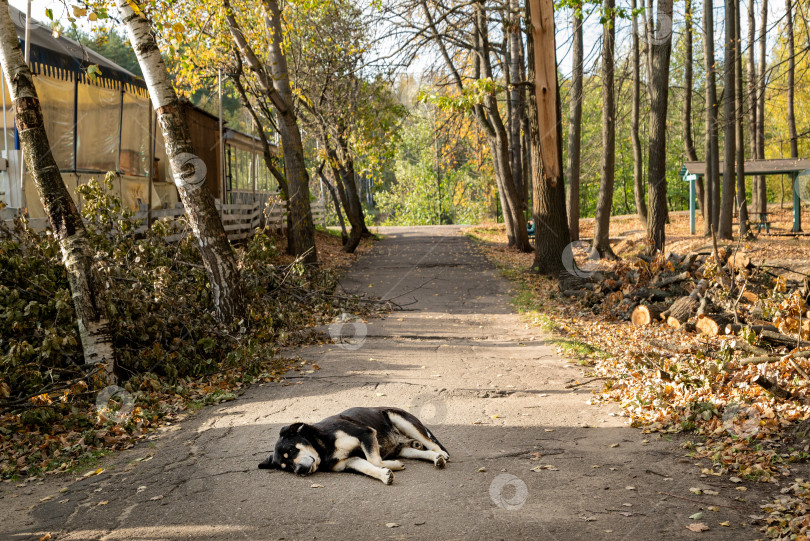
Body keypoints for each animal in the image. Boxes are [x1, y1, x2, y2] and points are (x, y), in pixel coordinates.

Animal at [258, 404, 448, 486]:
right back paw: (435, 458)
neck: (322, 446)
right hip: (404, 450)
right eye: (287, 468)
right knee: (424, 451)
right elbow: (369, 467)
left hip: (403, 421)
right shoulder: (350, 461)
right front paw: (384, 474)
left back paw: (442, 455)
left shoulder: (366, 434)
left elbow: (374, 460)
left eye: (291, 449)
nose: (298, 471)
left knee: (431, 443)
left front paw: (390, 466)